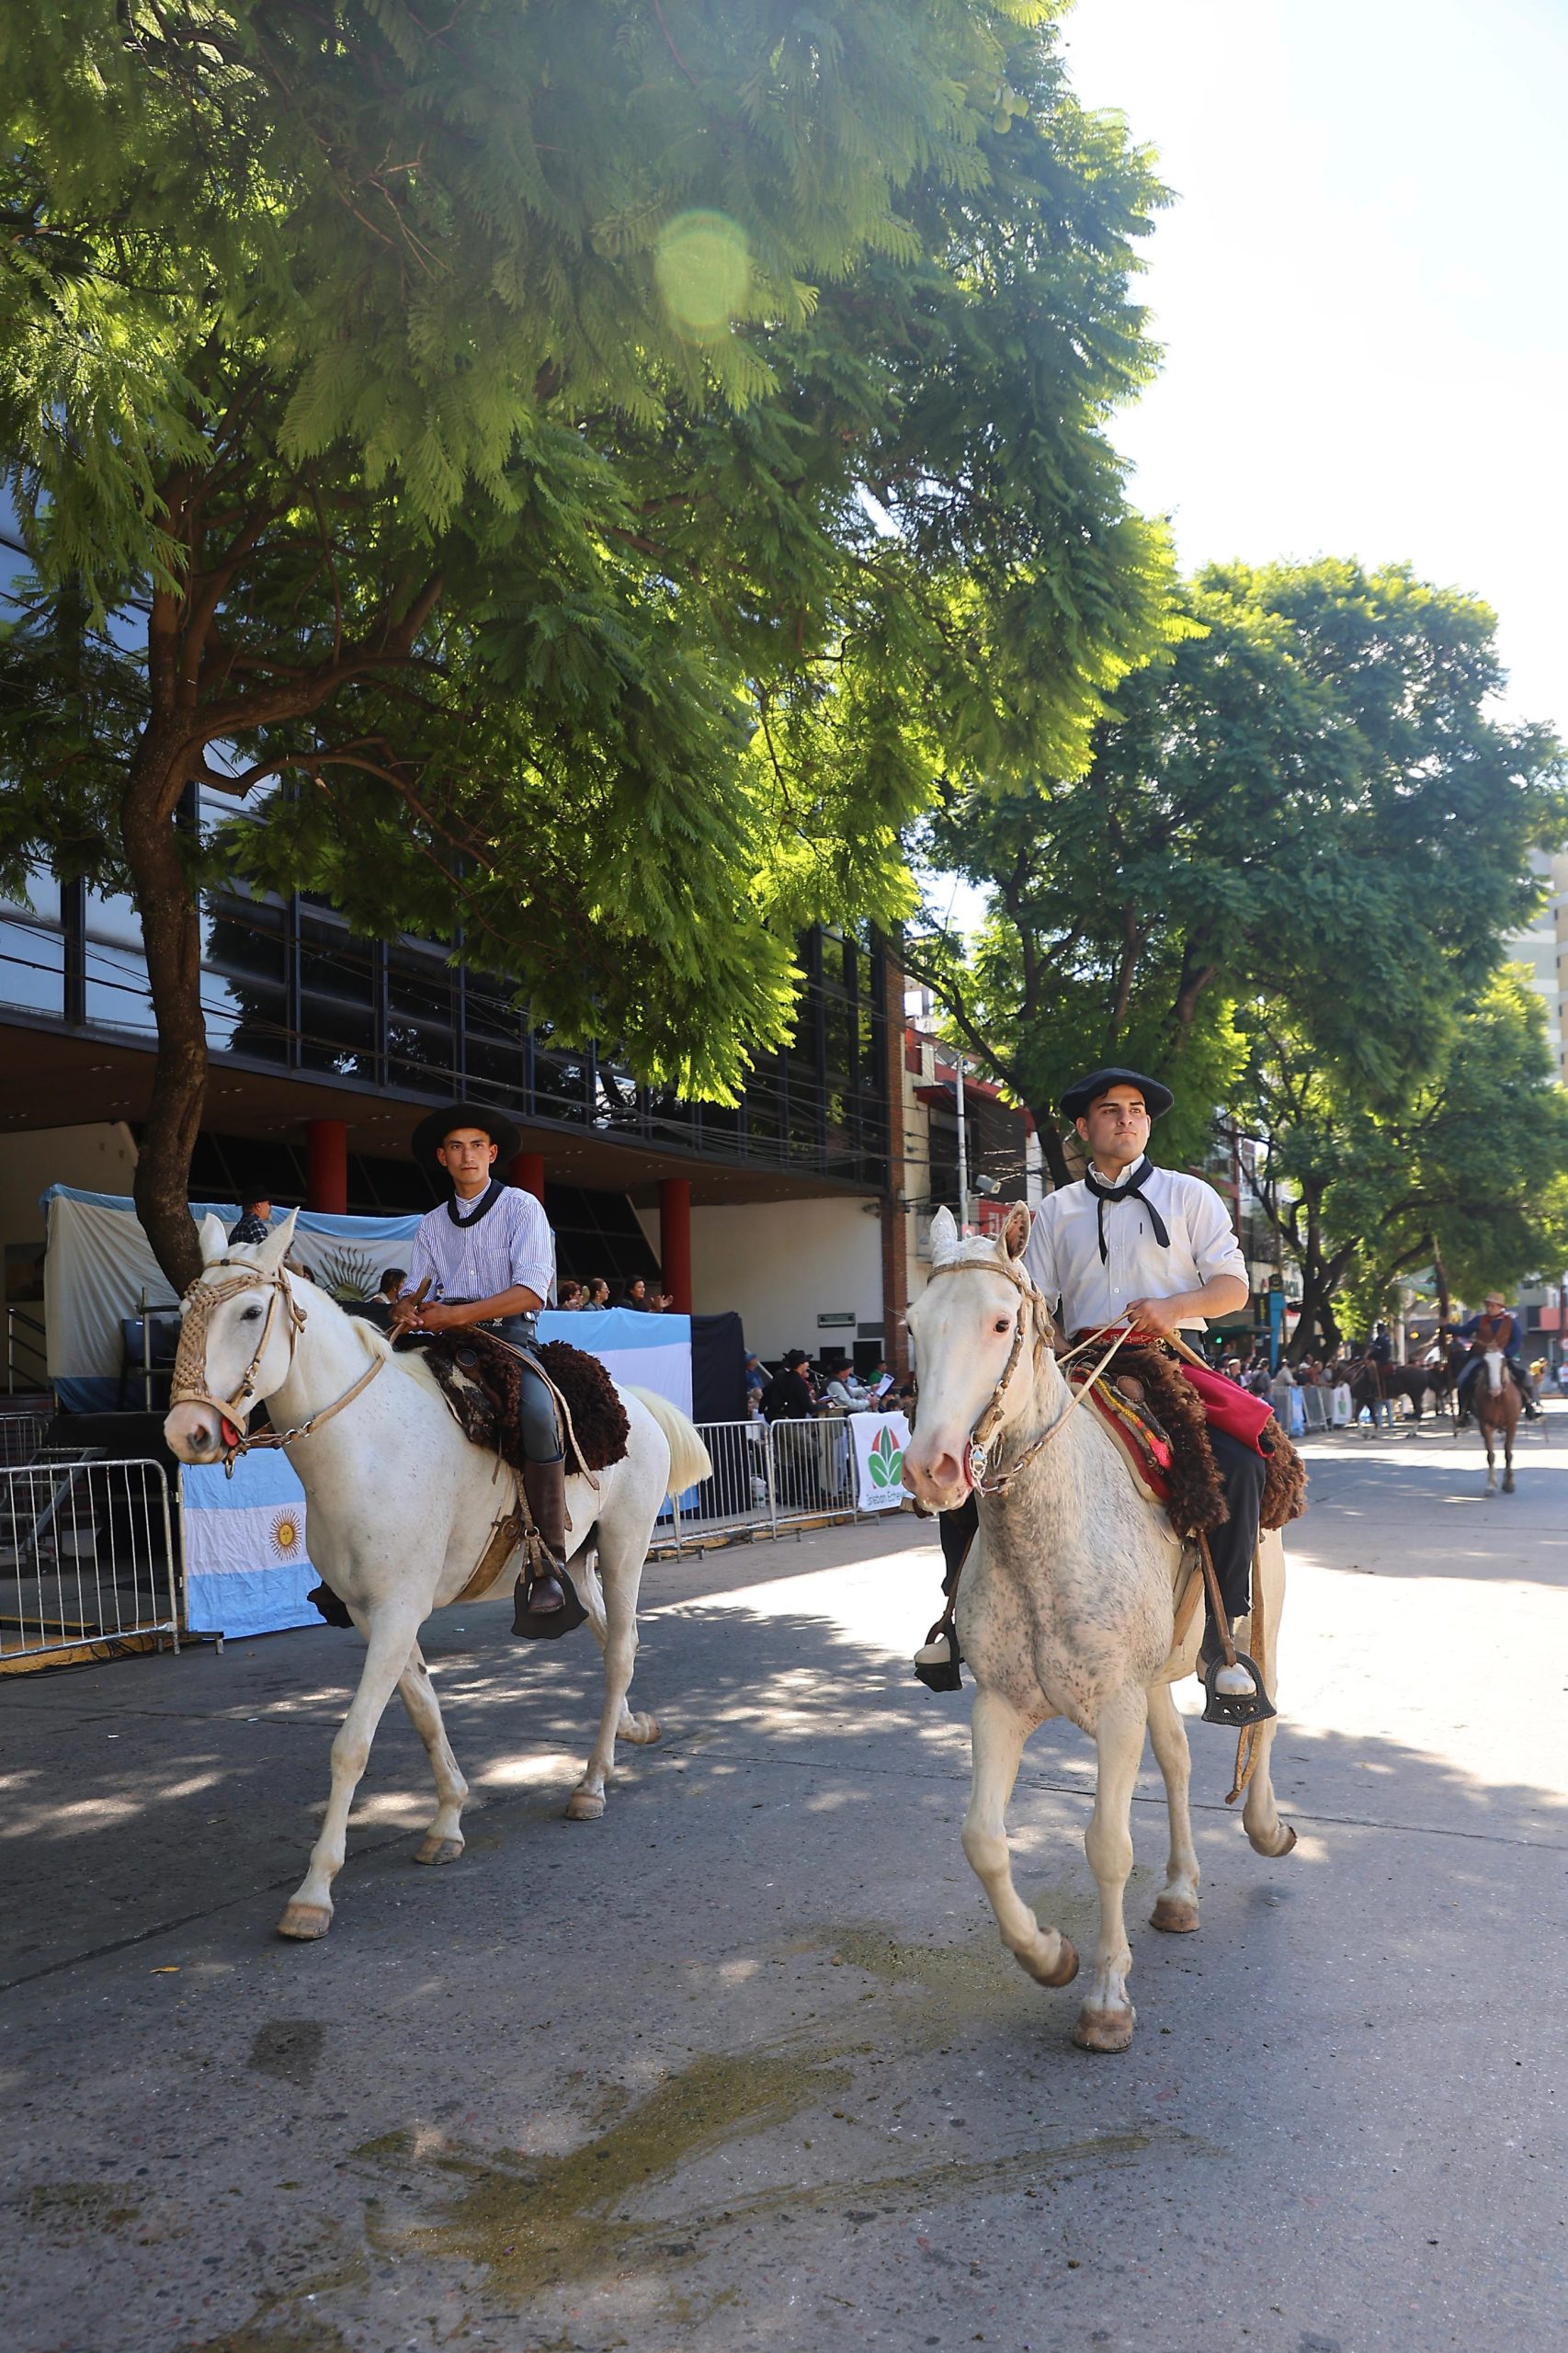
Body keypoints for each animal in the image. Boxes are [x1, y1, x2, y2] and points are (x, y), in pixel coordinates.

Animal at [163, 1211, 711, 1939]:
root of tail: (637, 1402)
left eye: (252, 1312)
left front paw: (313, 1893)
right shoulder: (374, 1614)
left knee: (621, 1649)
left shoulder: (398, 1609)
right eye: (182, 1315)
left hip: (627, 1544)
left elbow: (352, 1744)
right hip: (576, 1558)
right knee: (608, 1640)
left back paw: (592, 1784)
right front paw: (448, 1820)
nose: (186, 1432)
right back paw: (628, 1729)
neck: (366, 1447)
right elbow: (424, 1714)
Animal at [902, 1205, 1294, 2056]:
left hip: (1262, 1619)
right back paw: (1179, 1891)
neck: (1045, 1536)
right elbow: (982, 1841)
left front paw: (1108, 1999)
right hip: (1155, 1675)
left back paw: (1265, 1825)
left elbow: (1108, 1846)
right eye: (913, 1324)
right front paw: (1049, 1956)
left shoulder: (1114, 1707)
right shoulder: (1002, 1703)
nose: (930, 1469)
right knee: (1178, 1761)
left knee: (1265, 1713)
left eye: (1001, 1322)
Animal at [1473, 1347, 1521, 1493]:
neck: (1498, 1400)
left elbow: (1508, 1453)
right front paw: (1490, 1485)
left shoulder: (1512, 1425)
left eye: (1504, 1361)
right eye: (1484, 1362)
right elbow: (1490, 1455)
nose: (1495, 1389)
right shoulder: (1485, 1425)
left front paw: (1509, 1483)